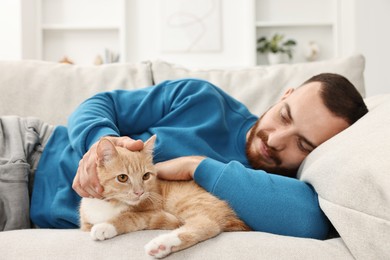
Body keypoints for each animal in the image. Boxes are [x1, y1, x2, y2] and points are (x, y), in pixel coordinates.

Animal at [79, 136, 250, 258]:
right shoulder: (85, 224)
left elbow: (128, 217)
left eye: (146, 176)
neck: (111, 203)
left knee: (207, 224)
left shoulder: (151, 213)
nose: (139, 192)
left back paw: (162, 244)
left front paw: (105, 226)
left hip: (186, 200)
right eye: (122, 178)